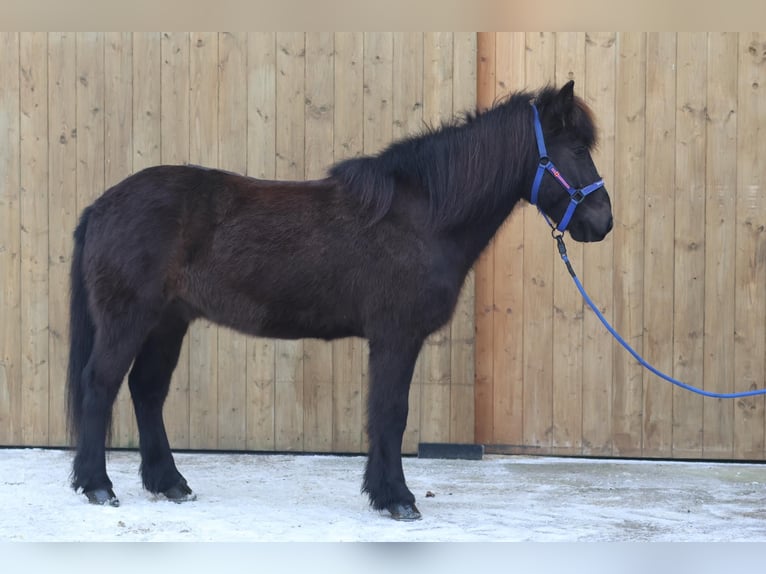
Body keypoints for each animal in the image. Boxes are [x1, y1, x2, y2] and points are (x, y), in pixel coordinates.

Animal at [66, 80, 612, 521]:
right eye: (575, 147)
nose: (602, 222)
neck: (421, 215)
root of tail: (101, 205)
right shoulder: (396, 337)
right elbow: (390, 412)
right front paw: (397, 499)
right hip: (129, 318)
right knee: (100, 385)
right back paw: (98, 486)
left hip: (167, 322)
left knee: (146, 391)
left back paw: (170, 484)